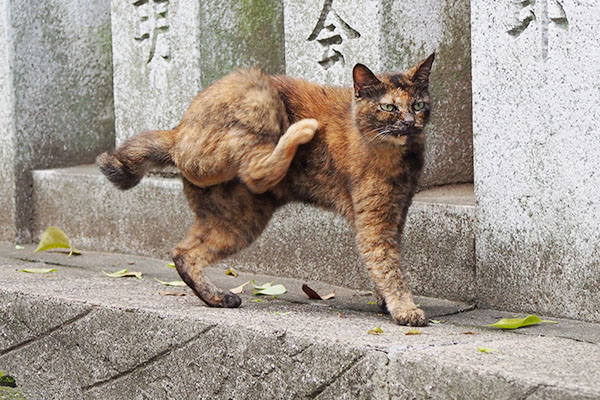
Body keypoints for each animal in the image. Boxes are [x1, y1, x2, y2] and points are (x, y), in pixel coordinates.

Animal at [98, 53, 436, 326]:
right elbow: (388, 265)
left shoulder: (396, 212)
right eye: (388, 107)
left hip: (237, 220)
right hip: (260, 97)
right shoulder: (375, 221)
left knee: (184, 253)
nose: (410, 122)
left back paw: (218, 298)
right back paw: (302, 129)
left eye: (418, 105)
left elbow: (382, 262)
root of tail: (179, 131)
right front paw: (405, 309)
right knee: (256, 171)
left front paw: (385, 302)